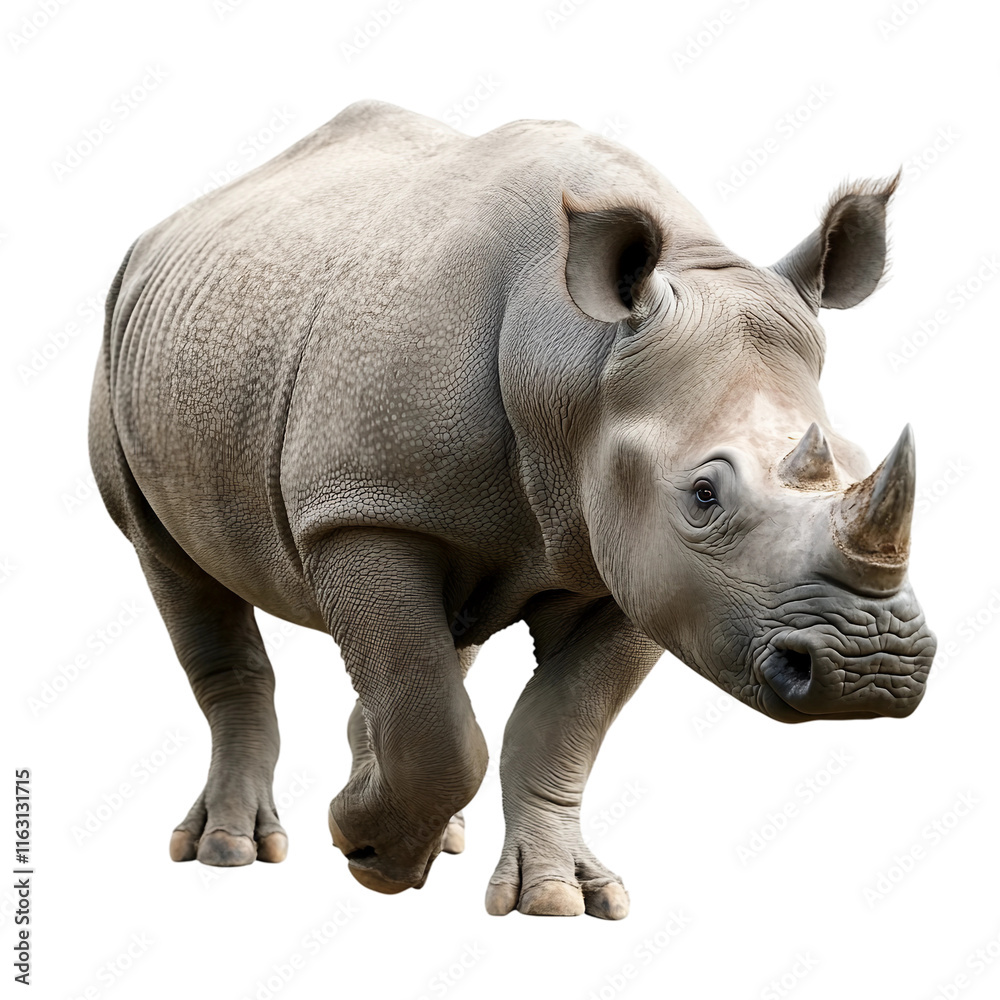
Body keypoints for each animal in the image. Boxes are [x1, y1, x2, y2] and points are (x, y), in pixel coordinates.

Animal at [89, 100, 936, 919]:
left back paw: (428, 827)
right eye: (704, 496)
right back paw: (228, 851)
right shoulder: (364, 509)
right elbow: (440, 729)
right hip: (125, 352)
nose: (872, 669)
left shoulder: (639, 565)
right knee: (174, 567)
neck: (577, 359)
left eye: (858, 459)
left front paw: (566, 898)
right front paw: (371, 851)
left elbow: (560, 722)